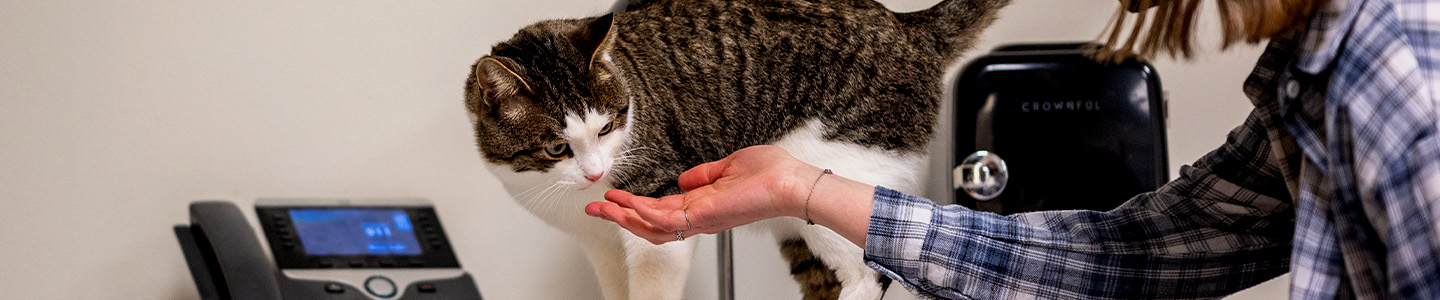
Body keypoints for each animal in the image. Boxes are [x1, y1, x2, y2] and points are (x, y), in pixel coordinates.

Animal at [466, 1, 1008, 298]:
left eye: (606, 128)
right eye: (558, 147)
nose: (596, 173)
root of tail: (907, 24)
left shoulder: (655, 219)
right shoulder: (599, 243)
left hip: (845, 166)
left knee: (869, 271)